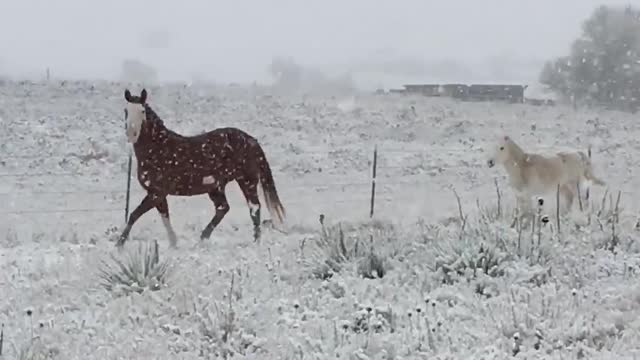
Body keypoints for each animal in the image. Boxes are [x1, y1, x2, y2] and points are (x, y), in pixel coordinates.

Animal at [117, 89, 284, 248]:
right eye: (125, 110)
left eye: (142, 111)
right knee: (223, 208)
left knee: (254, 208)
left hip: (246, 180)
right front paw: (173, 243)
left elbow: (134, 215)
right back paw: (203, 239)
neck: (158, 148)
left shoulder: (156, 193)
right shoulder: (157, 194)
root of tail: (251, 140)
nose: (131, 134)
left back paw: (256, 242)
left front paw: (119, 244)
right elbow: (164, 217)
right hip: (216, 187)